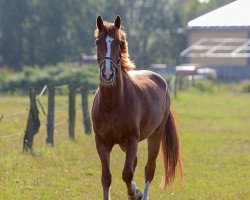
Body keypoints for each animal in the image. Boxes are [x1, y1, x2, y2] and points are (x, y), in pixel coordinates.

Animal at [92, 16, 182, 200]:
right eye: (98, 42)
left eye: (119, 42)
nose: (107, 74)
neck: (112, 104)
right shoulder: (102, 142)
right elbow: (106, 177)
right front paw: (132, 192)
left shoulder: (132, 140)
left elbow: (127, 174)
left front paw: (135, 194)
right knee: (134, 164)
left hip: (155, 136)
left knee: (149, 169)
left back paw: (143, 194)